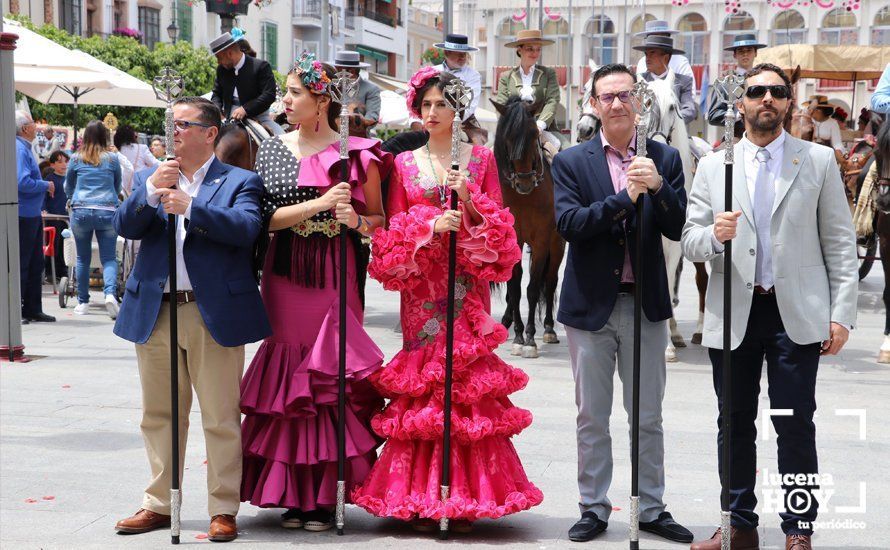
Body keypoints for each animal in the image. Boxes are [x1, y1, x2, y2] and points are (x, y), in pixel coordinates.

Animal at [490, 96, 564, 360]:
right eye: (507, 136)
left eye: (533, 134)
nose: (524, 182)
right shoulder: (513, 239)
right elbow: (514, 287)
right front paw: (519, 336)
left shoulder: (542, 240)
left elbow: (532, 288)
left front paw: (530, 338)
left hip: (557, 243)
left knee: (550, 281)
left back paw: (550, 329)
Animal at [576, 61, 716, 362]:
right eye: (585, 92)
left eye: (674, 107)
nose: (583, 128)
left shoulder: (673, 244)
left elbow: (667, 281)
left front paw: (667, 346)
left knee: (701, 280)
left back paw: (697, 332)